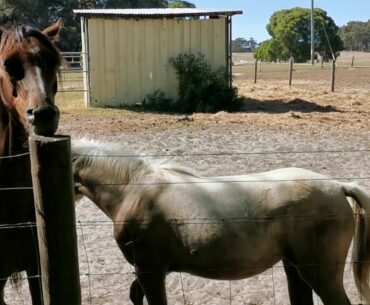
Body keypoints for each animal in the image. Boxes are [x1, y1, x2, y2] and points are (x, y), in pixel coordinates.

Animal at [72, 138, 370, 304]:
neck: (134, 190)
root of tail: (338, 187)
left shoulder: (150, 270)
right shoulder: (148, 271)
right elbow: (135, 296)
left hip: (320, 274)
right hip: (294, 268)